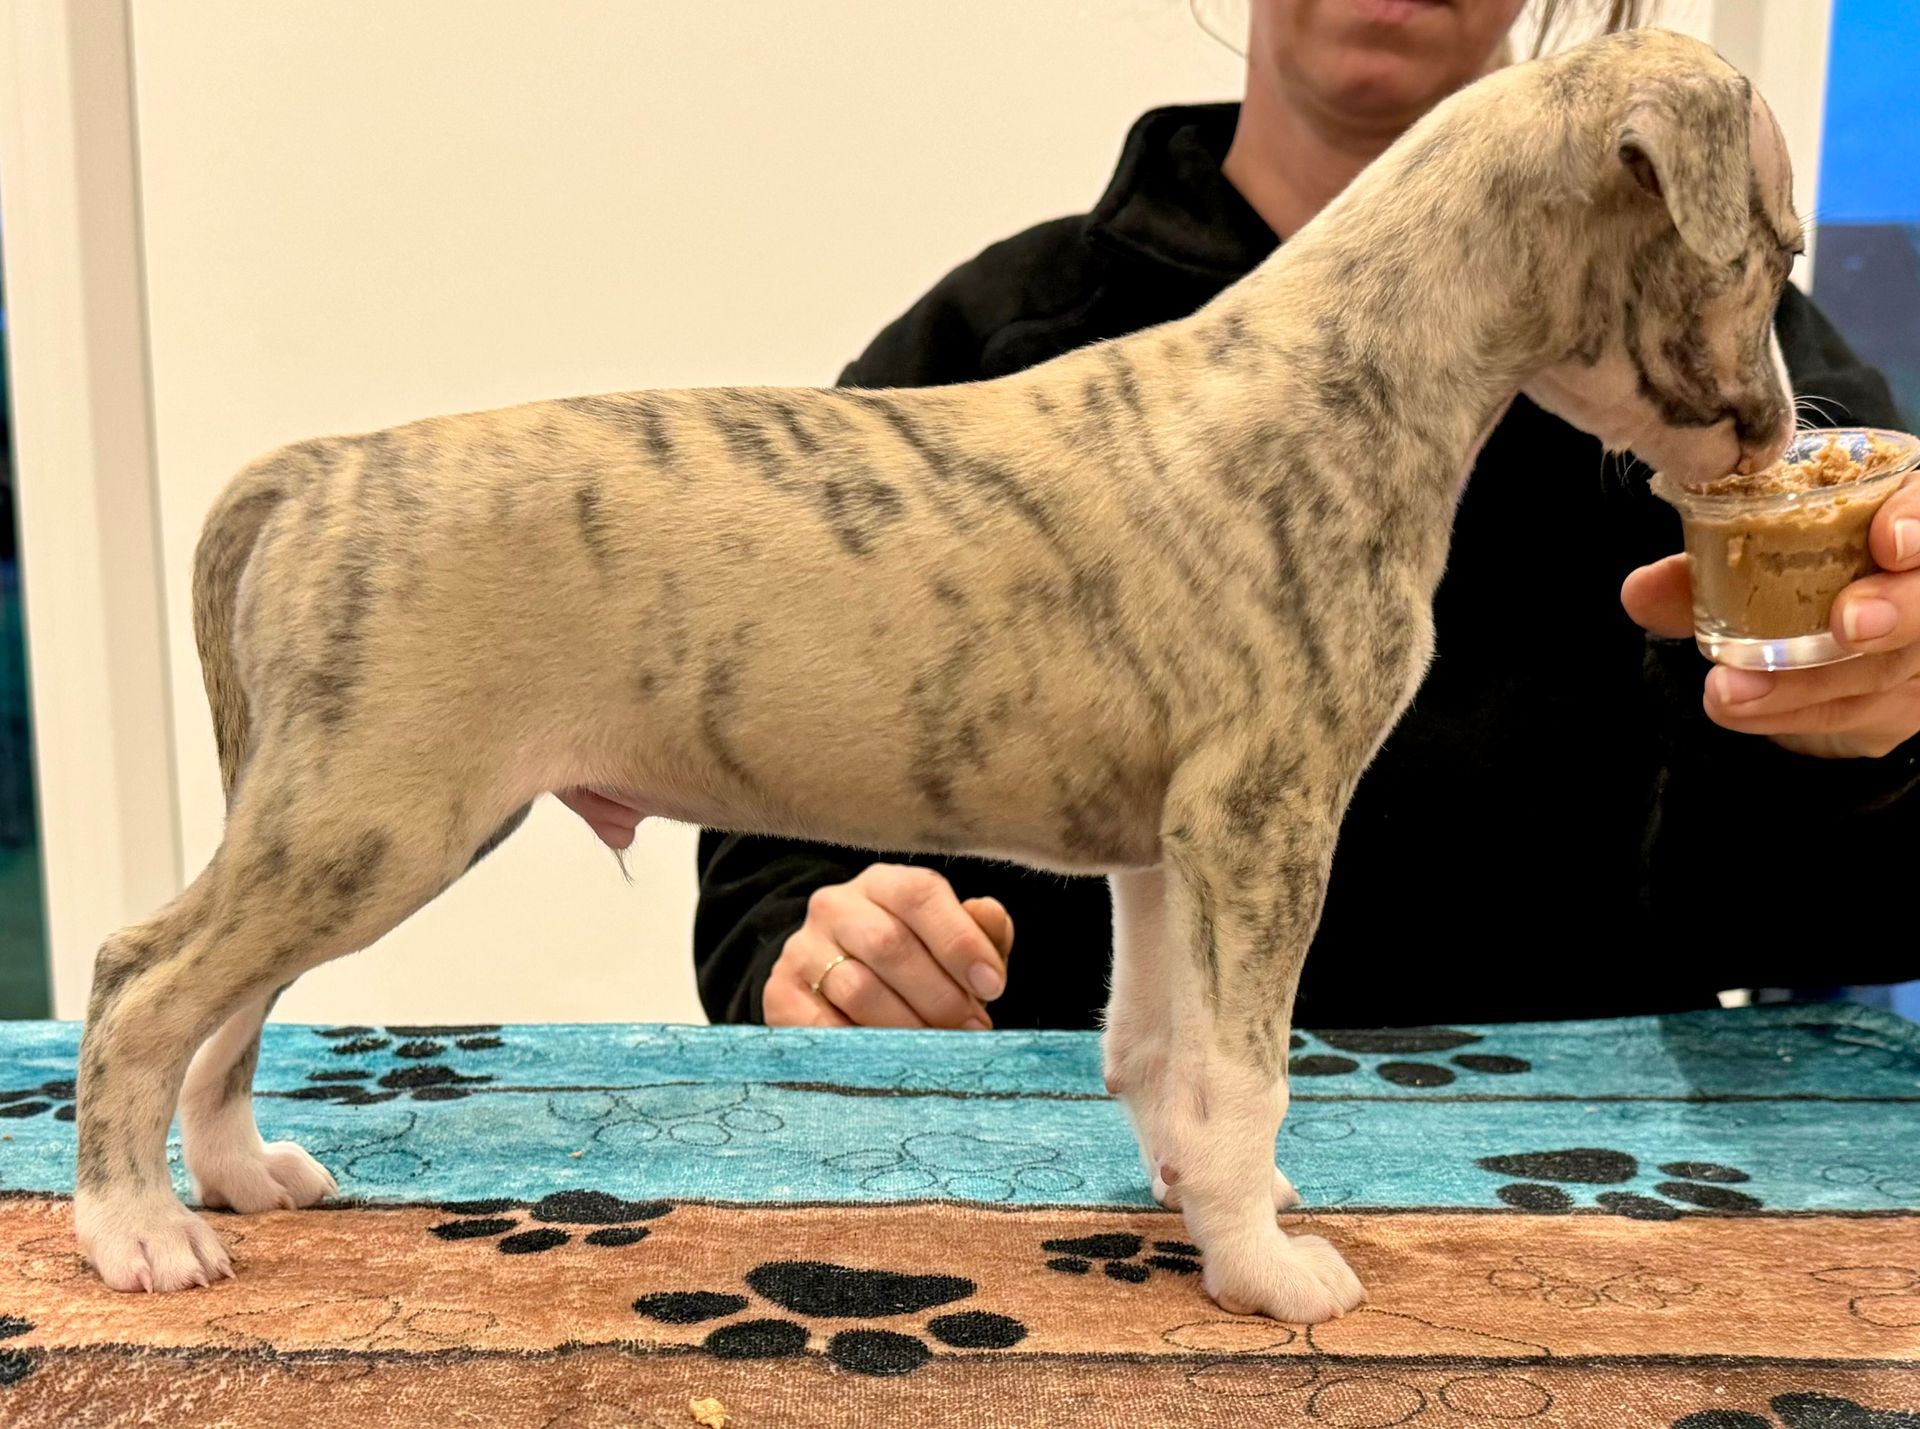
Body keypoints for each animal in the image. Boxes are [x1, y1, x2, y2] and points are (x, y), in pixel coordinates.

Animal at [74, 29, 1798, 1318]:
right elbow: (1247, 1063)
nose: (1785, 431)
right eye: (1770, 255)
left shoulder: (1174, 849)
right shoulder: (1266, 820)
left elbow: (1160, 1045)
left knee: (228, 1000)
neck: (1349, 372)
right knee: (144, 979)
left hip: (342, 819)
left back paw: (237, 1176)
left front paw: (1200, 1203)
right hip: (374, 816)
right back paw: (135, 1229)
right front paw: (1268, 1267)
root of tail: (321, 468)